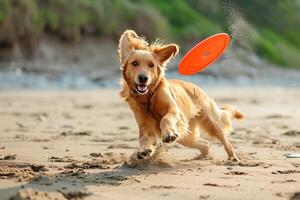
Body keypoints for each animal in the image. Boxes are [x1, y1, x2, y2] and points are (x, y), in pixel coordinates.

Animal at [117, 29, 244, 161]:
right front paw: (144, 150)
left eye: (151, 65)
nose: (143, 78)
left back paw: (232, 158)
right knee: (204, 144)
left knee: (225, 141)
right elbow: (144, 137)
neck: (148, 97)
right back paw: (202, 157)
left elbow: (165, 119)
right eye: (134, 63)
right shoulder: (145, 124)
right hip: (186, 135)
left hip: (211, 122)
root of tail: (197, 87)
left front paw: (169, 134)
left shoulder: (174, 110)